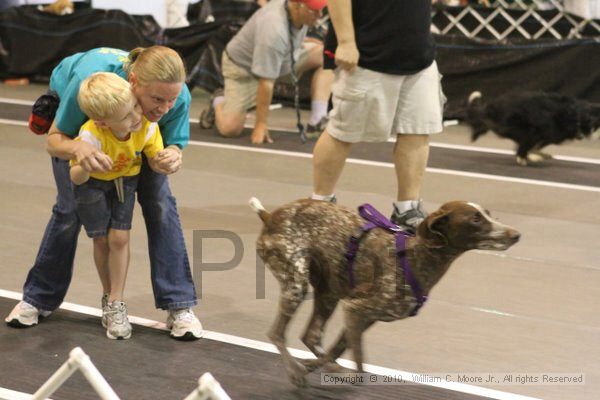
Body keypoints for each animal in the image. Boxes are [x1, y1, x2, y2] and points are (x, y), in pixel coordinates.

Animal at [250, 198, 520, 386]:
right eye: (475, 220)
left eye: (488, 214)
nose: (516, 234)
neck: (417, 257)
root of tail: (271, 216)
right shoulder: (356, 308)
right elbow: (360, 369)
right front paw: (315, 370)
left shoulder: (364, 317)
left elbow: (338, 352)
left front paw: (318, 366)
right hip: (297, 284)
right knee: (277, 333)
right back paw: (295, 371)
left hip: (329, 293)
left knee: (311, 336)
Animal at [466, 91, 600, 166]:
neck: (577, 116)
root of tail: (490, 107)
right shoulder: (542, 131)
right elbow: (530, 146)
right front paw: (531, 157)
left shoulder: (547, 136)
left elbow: (536, 146)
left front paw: (537, 155)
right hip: (517, 126)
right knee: (523, 143)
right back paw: (525, 158)